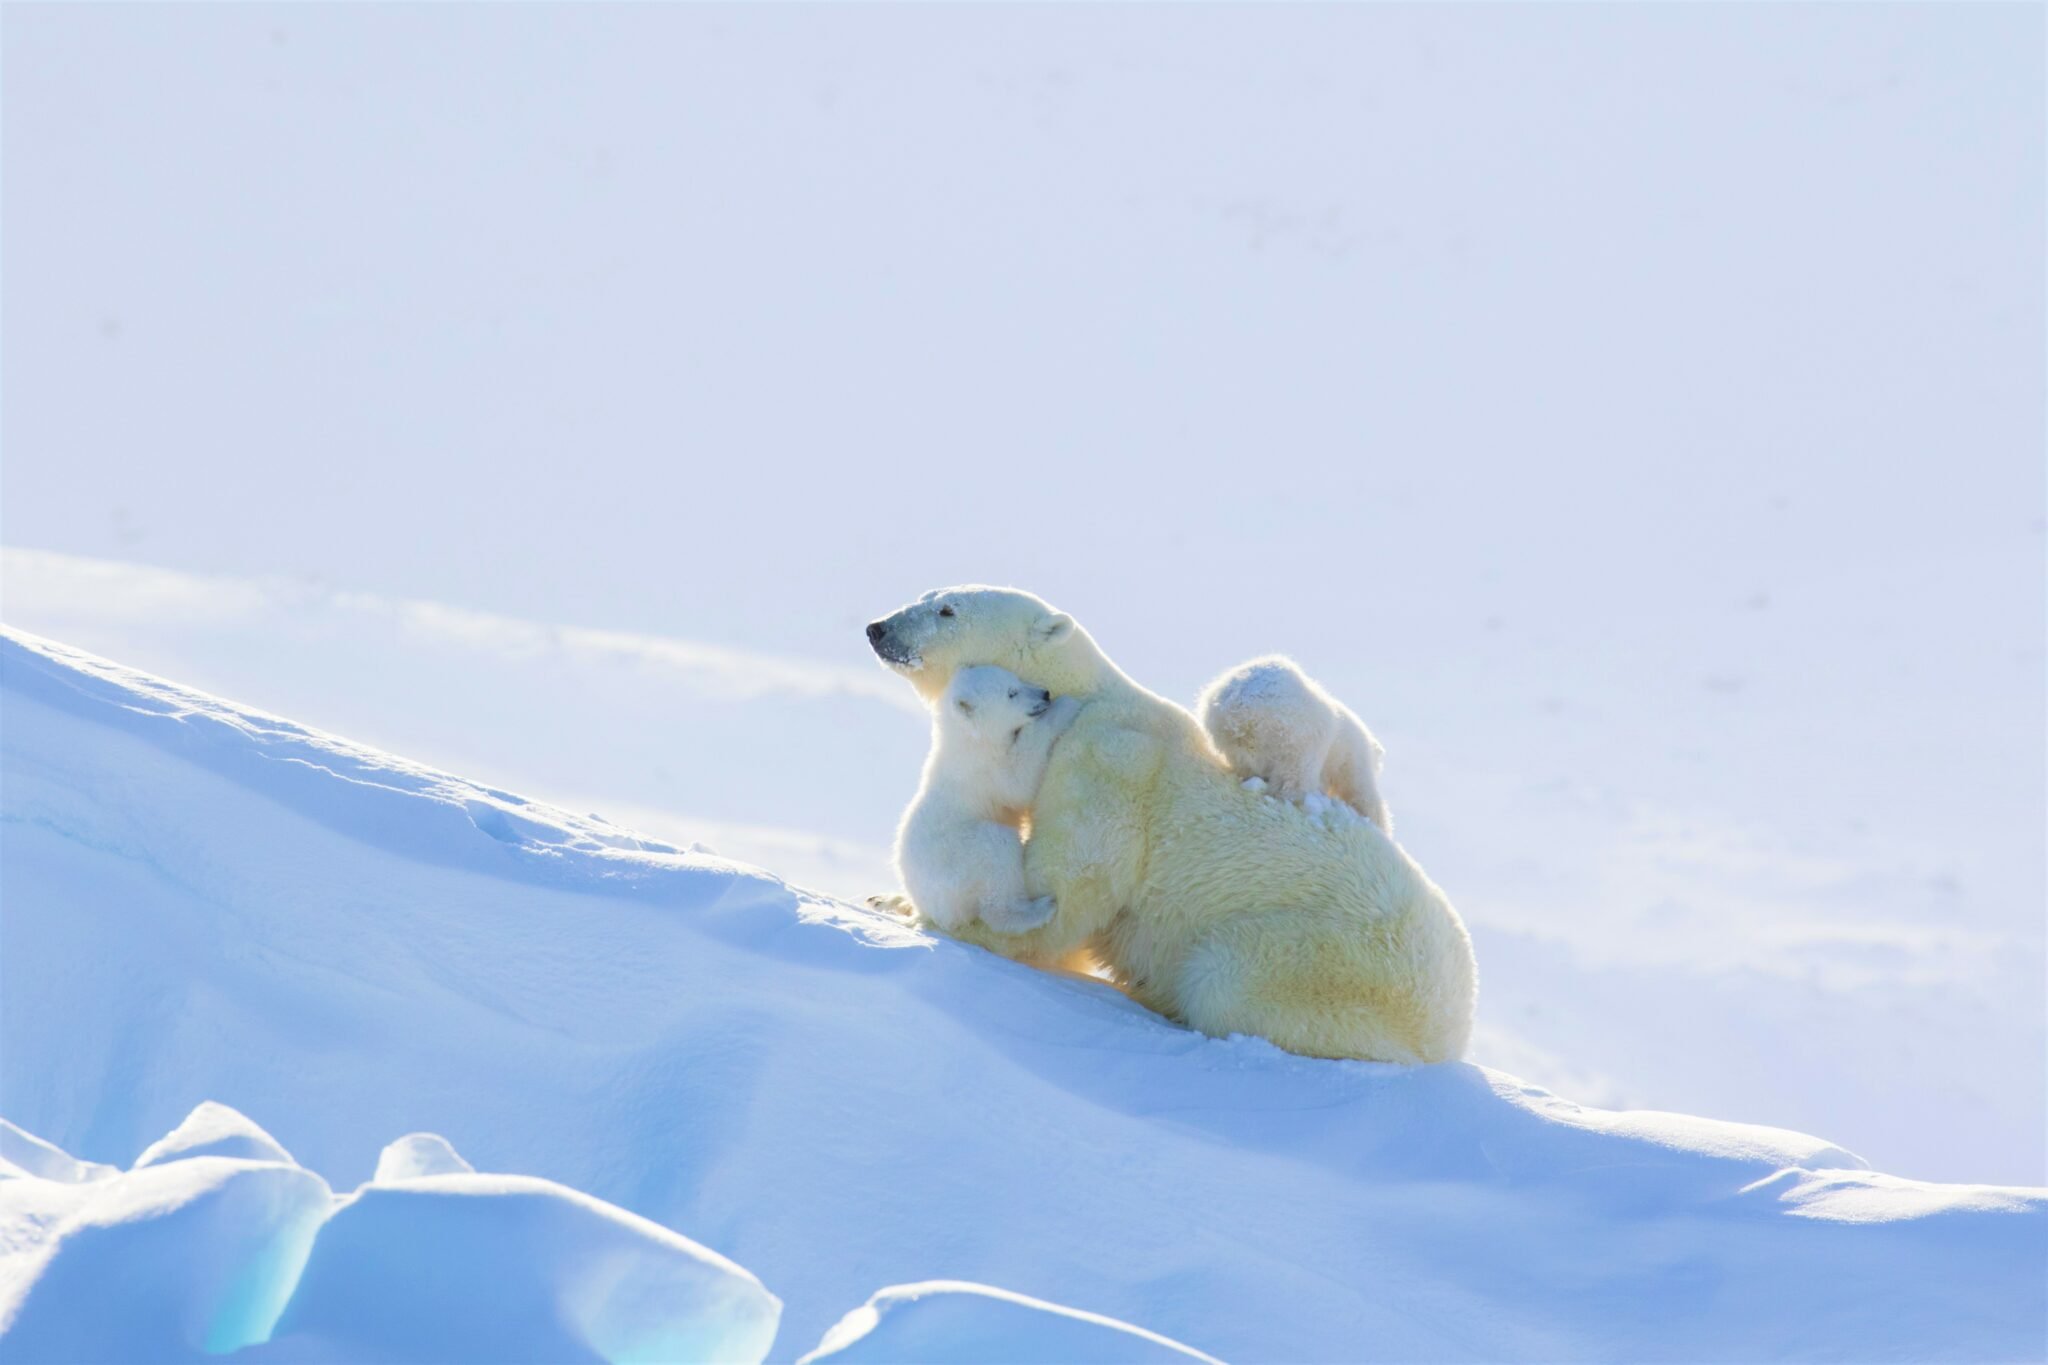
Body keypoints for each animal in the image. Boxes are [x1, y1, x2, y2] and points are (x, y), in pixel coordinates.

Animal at [897, 663, 1089, 941]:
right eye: (1011, 693)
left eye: (1017, 679)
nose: (1045, 694)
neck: (969, 739)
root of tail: (930, 909)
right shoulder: (985, 769)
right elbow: (1019, 780)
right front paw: (1066, 706)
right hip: (959, 858)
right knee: (996, 854)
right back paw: (1040, 909)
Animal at [1196, 654, 1392, 834]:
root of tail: (1241, 709)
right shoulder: (1351, 759)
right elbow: (1362, 794)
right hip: (1295, 730)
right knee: (1295, 776)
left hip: (1233, 742)